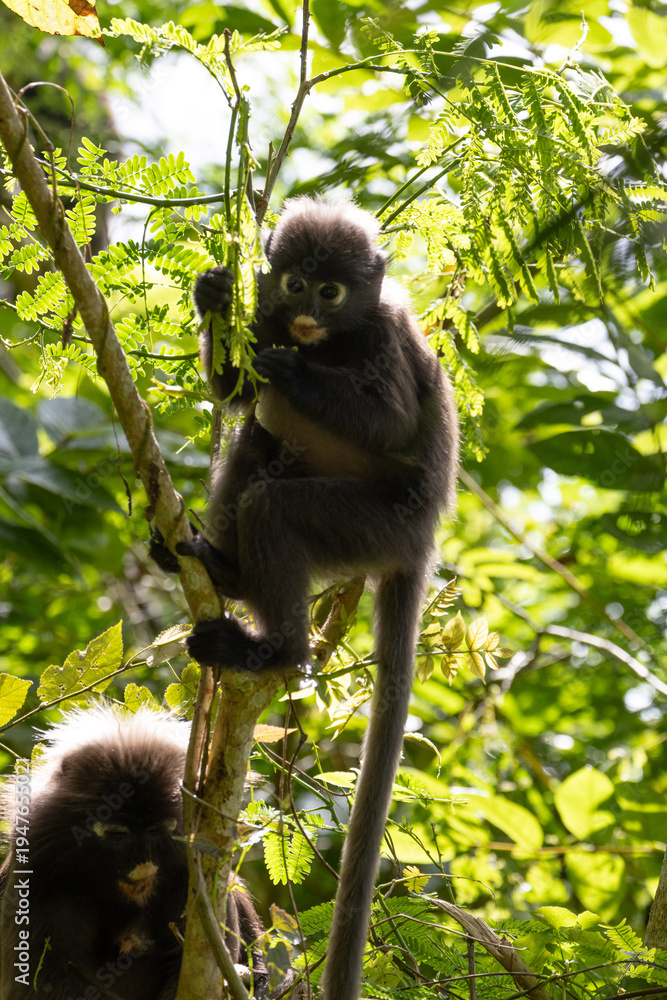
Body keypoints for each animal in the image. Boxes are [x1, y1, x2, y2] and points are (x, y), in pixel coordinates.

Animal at [154, 197, 459, 1000]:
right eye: (294, 284)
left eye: (332, 292)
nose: (305, 318)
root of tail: (421, 539)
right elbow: (235, 391)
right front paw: (214, 296)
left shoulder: (380, 335)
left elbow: (390, 419)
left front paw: (289, 368)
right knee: (257, 441)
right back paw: (225, 573)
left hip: (370, 522)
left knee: (277, 503)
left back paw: (275, 650)